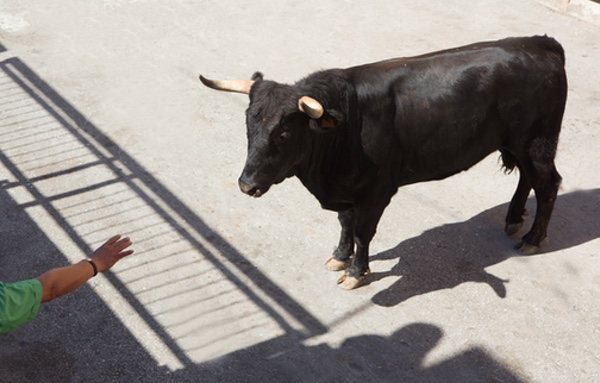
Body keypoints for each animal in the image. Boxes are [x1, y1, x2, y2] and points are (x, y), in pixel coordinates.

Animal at [200, 36, 568, 290]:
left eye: (284, 133)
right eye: (249, 124)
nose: (246, 185)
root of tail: (541, 44)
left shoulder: (376, 192)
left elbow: (363, 232)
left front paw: (356, 272)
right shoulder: (348, 190)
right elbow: (345, 223)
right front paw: (339, 257)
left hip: (537, 142)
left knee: (547, 184)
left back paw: (533, 238)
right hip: (519, 144)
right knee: (527, 178)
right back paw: (513, 218)